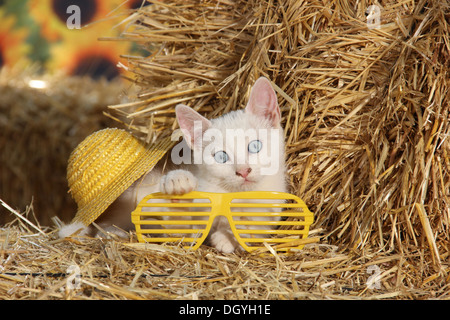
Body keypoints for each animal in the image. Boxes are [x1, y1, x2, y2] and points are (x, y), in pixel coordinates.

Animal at [58, 76, 286, 254]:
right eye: (221, 157)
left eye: (255, 146)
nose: (243, 171)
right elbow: (181, 226)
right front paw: (179, 183)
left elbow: (256, 225)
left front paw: (228, 236)